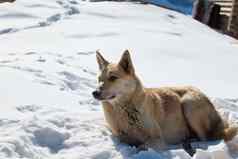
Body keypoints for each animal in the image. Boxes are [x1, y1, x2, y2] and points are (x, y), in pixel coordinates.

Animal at [92, 49, 237, 155]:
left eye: (113, 78)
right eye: (99, 79)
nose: (94, 93)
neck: (125, 109)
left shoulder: (157, 140)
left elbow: (142, 146)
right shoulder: (121, 137)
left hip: (188, 104)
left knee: (208, 139)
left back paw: (189, 146)